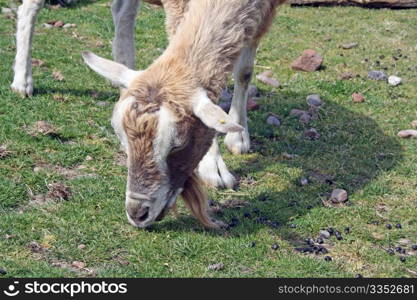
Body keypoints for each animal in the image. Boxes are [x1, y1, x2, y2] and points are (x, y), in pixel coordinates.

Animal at [82, 0, 284, 229]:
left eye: (177, 145)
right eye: (122, 140)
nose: (137, 213)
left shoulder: (266, 8)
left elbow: (244, 72)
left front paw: (238, 137)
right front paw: (213, 167)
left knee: (121, 11)